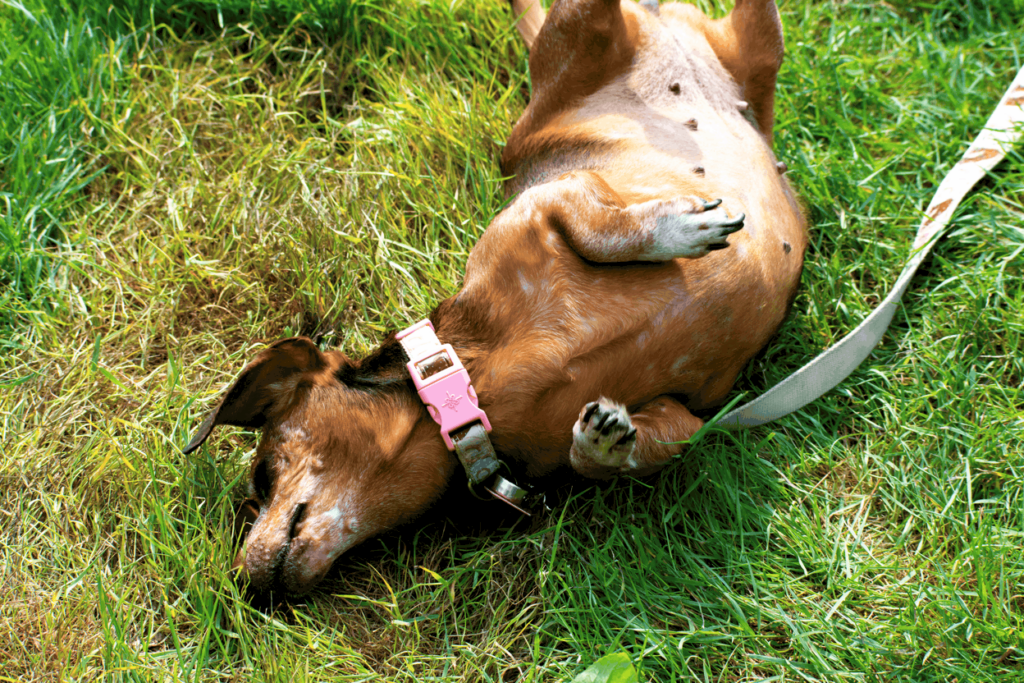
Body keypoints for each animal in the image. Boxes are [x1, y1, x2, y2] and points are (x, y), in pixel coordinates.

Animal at [184, 0, 806, 593]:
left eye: (262, 475)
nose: (243, 584)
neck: (470, 384)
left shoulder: (549, 201)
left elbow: (604, 230)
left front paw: (675, 228)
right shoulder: (684, 417)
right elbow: (615, 453)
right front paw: (601, 444)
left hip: (580, 21)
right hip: (754, 50)